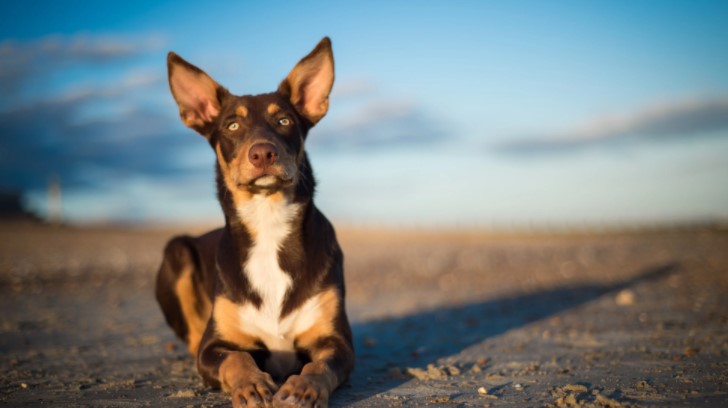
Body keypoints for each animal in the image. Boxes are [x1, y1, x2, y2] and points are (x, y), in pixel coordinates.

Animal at [155, 37, 354, 408]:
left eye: (285, 121)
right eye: (232, 125)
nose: (262, 153)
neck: (268, 223)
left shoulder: (337, 343)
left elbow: (318, 366)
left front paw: (302, 389)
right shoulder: (213, 347)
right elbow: (237, 357)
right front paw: (251, 385)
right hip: (177, 250)